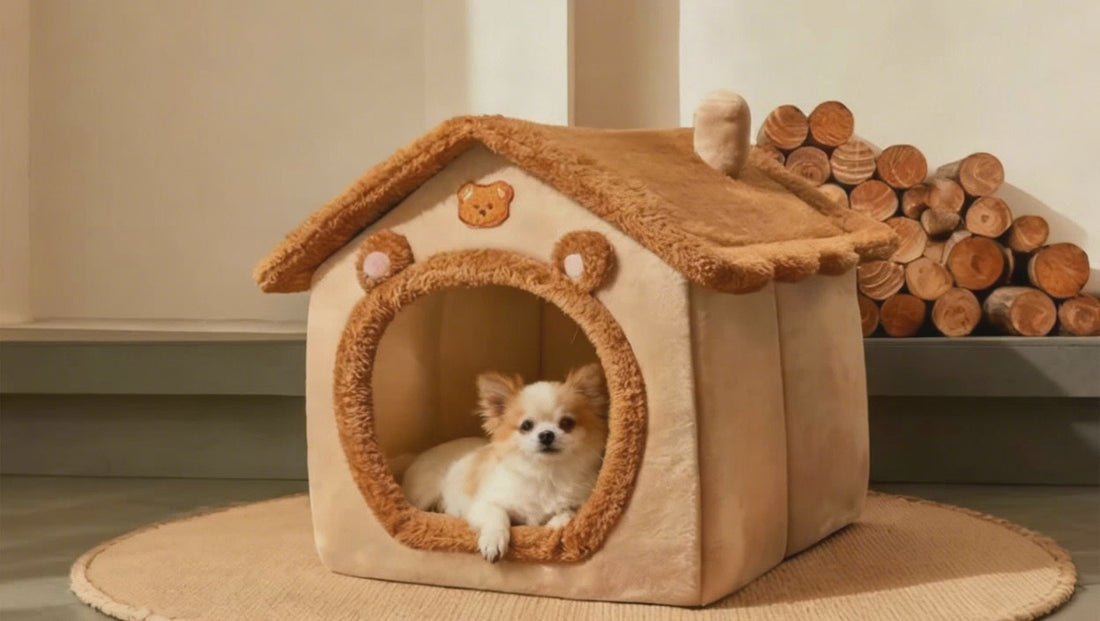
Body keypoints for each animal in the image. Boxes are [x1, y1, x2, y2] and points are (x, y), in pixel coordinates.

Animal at [401, 363, 609, 562]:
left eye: (567, 423)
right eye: (526, 426)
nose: (546, 434)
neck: (545, 473)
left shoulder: (581, 503)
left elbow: (569, 512)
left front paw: (554, 524)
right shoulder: (482, 504)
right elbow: (497, 515)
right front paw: (493, 541)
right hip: (425, 493)